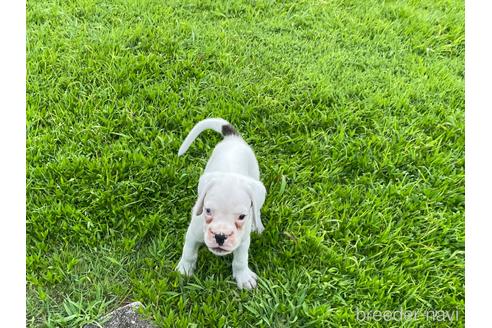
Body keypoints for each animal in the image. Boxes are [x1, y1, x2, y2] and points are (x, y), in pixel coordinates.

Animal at [176, 118, 268, 290]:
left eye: (242, 216)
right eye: (207, 210)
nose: (220, 236)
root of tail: (233, 138)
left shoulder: (243, 241)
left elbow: (240, 260)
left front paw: (243, 276)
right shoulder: (193, 233)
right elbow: (189, 251)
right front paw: (184, 269)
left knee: (257, 209)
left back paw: (257, 225)